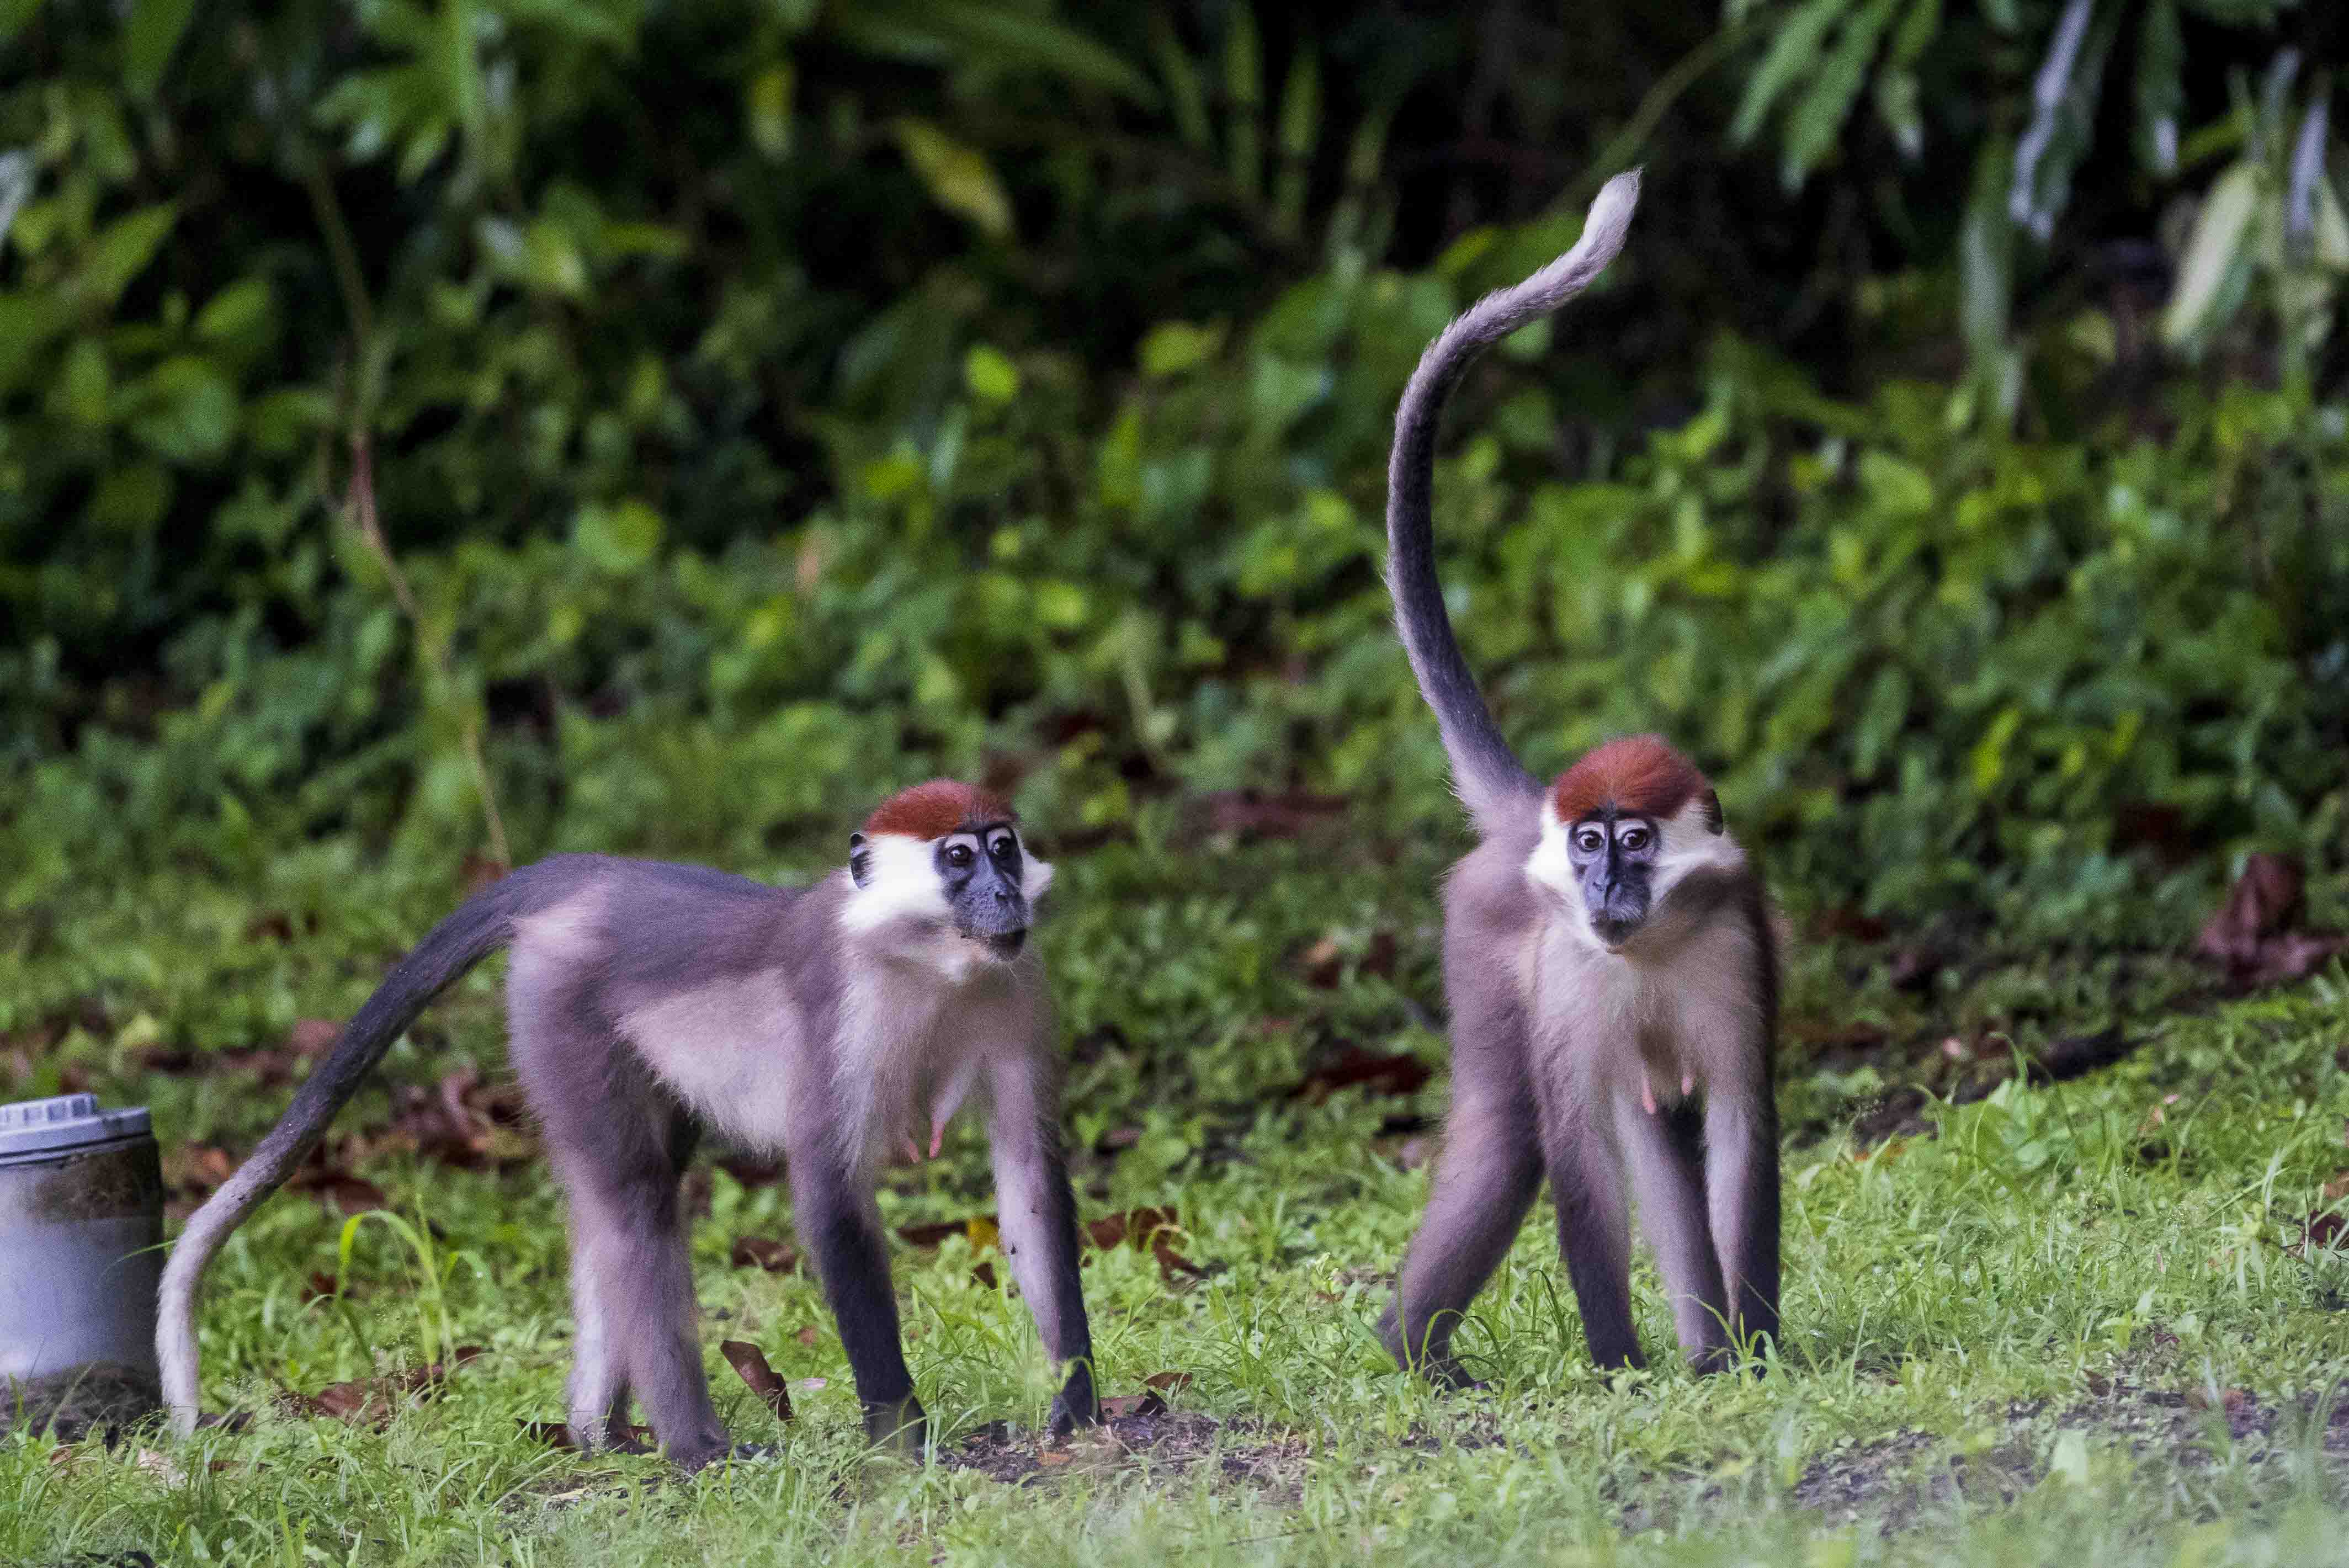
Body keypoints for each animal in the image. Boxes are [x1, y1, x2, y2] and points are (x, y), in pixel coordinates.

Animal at [166, 784, 1099, 1474]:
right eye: (956, 858)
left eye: (1003, 846)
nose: (1004, 892)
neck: (930, 958)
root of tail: (591, 884)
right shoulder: (843, 1006)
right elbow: (831, 1203)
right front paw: (902, 1440)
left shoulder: (1019, 984)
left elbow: (1028, 1175)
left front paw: (1078, 1401)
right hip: (557, 1011)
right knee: (635, 1201)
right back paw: (693, 1449)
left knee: (622, 1202)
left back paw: (596, 1432)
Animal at [1372, 165, 1776, 1380]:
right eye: (1589, 843)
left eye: (1634, 841)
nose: (1599, 884)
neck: (1650, 943)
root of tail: (1515, 825)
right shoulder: (1567, 975)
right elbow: (1576, 1148)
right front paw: (1618, 1366)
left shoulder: (1738, 936)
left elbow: (1737, 1124)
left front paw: (1759, 1352)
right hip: (1483, 950)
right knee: (1513, 1135)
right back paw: (1411, 1348)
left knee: (1663, 1122)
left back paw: (1706, 1349)